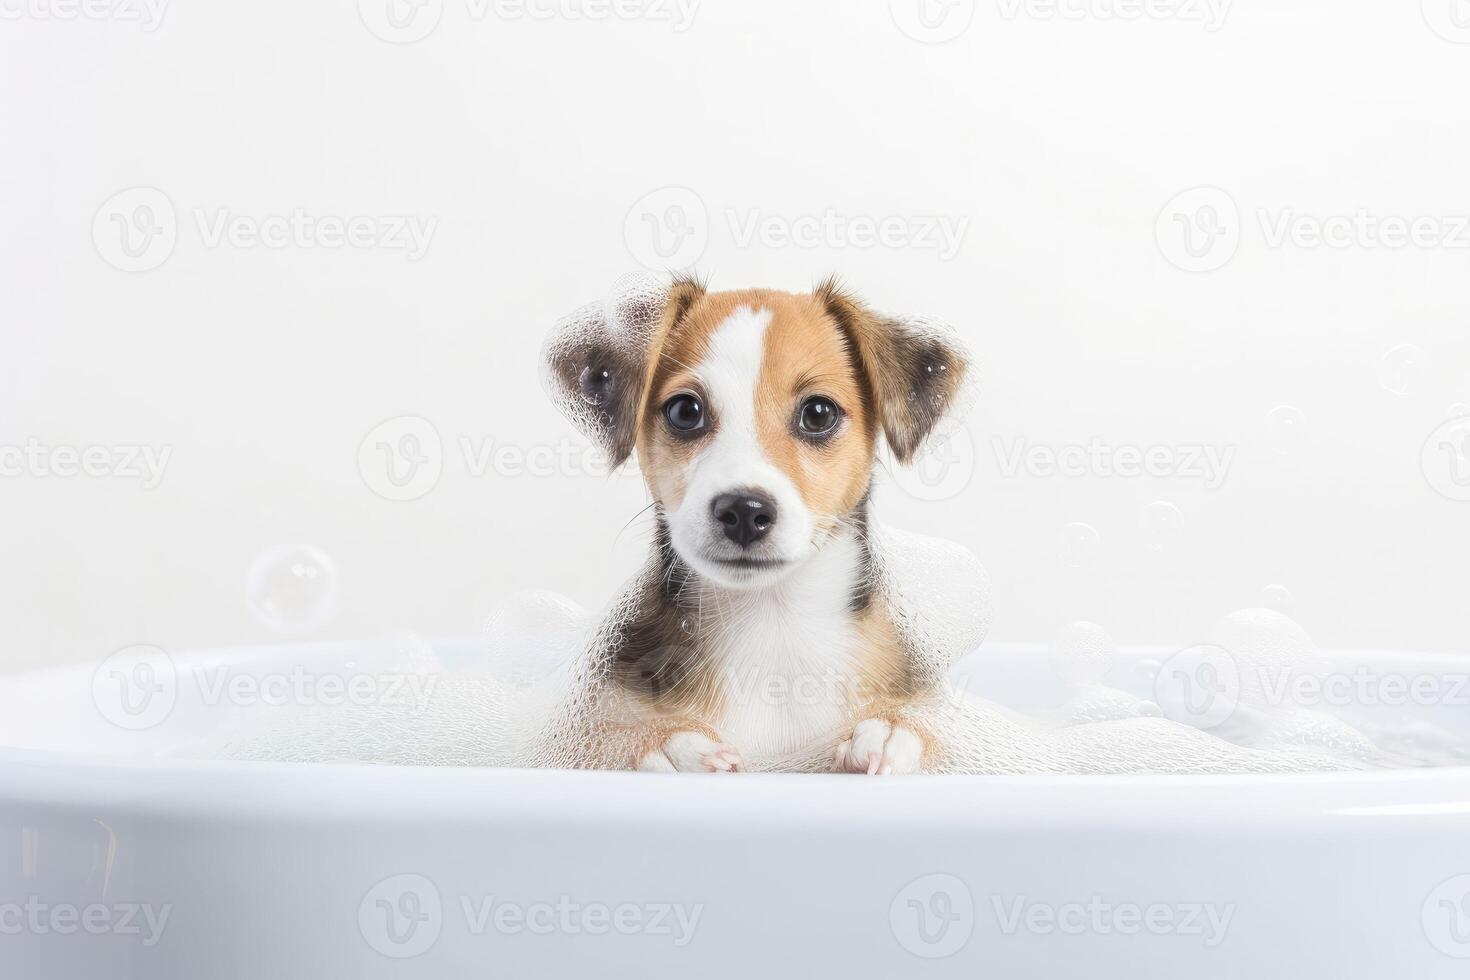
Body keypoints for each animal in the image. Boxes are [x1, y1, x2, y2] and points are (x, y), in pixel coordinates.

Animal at [535, 274, 970, 775]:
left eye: (818, 413)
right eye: (685, 411)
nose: (744, 511)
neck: (772, 628)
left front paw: (892, 730)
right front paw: (664, 742)